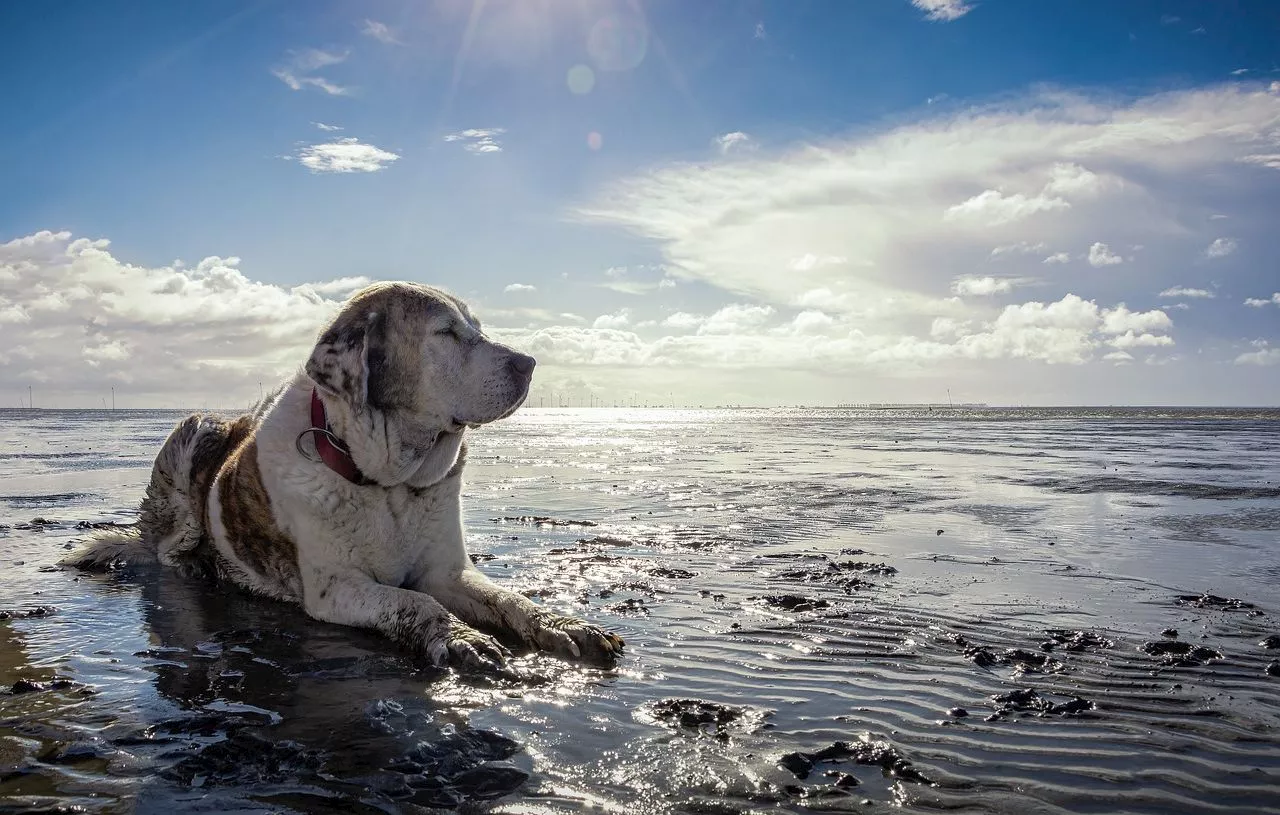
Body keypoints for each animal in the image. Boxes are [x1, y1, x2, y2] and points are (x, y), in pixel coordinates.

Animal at [66, 282, 624, 670]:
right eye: (446, 332)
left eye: (478, 328)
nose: (529, 362)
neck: (388, 483)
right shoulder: (335, 587)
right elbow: (414, 601)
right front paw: (462, 638)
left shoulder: (448, 572)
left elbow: (510, 600)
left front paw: (566, 626)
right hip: (196, 428)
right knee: (164, 548)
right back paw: (200, 564)